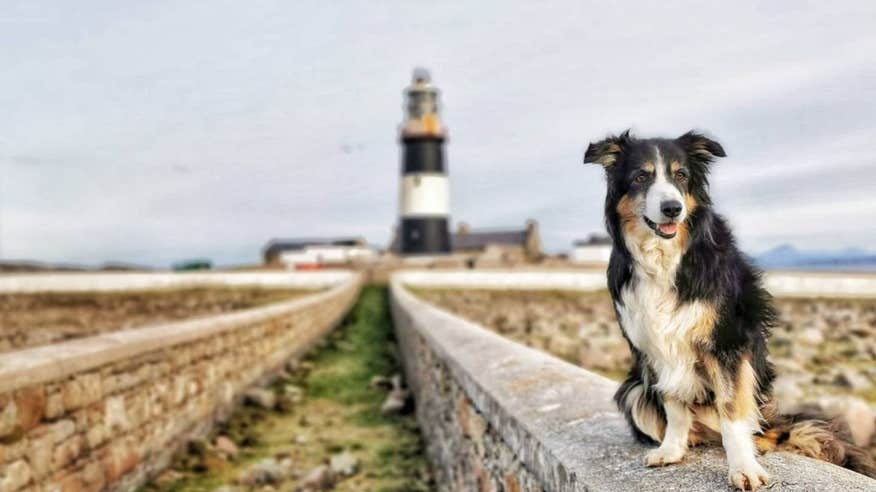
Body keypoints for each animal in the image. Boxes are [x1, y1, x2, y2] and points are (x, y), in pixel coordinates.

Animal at [580, 130, 876, 488]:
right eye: (641, 177)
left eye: (681, 176)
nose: (672, 208)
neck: (666, 256)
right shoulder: (655, 346)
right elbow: (673, 404)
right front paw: (672, 449)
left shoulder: (726, 342)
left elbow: (731, 409)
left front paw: (744, 468)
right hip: (633, 389)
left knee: (763, 431)